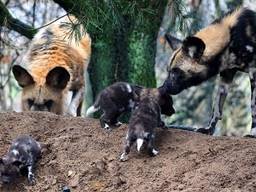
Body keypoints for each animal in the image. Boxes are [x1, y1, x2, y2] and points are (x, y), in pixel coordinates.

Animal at [163, 7, 256, 136]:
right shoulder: (226, 75)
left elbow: (253, 106)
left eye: (176, 72)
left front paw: (253, 133)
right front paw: (208, 129)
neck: (230, 37)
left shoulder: (253, 71)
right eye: (168, 71)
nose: (163, 88)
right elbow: (216, 107)